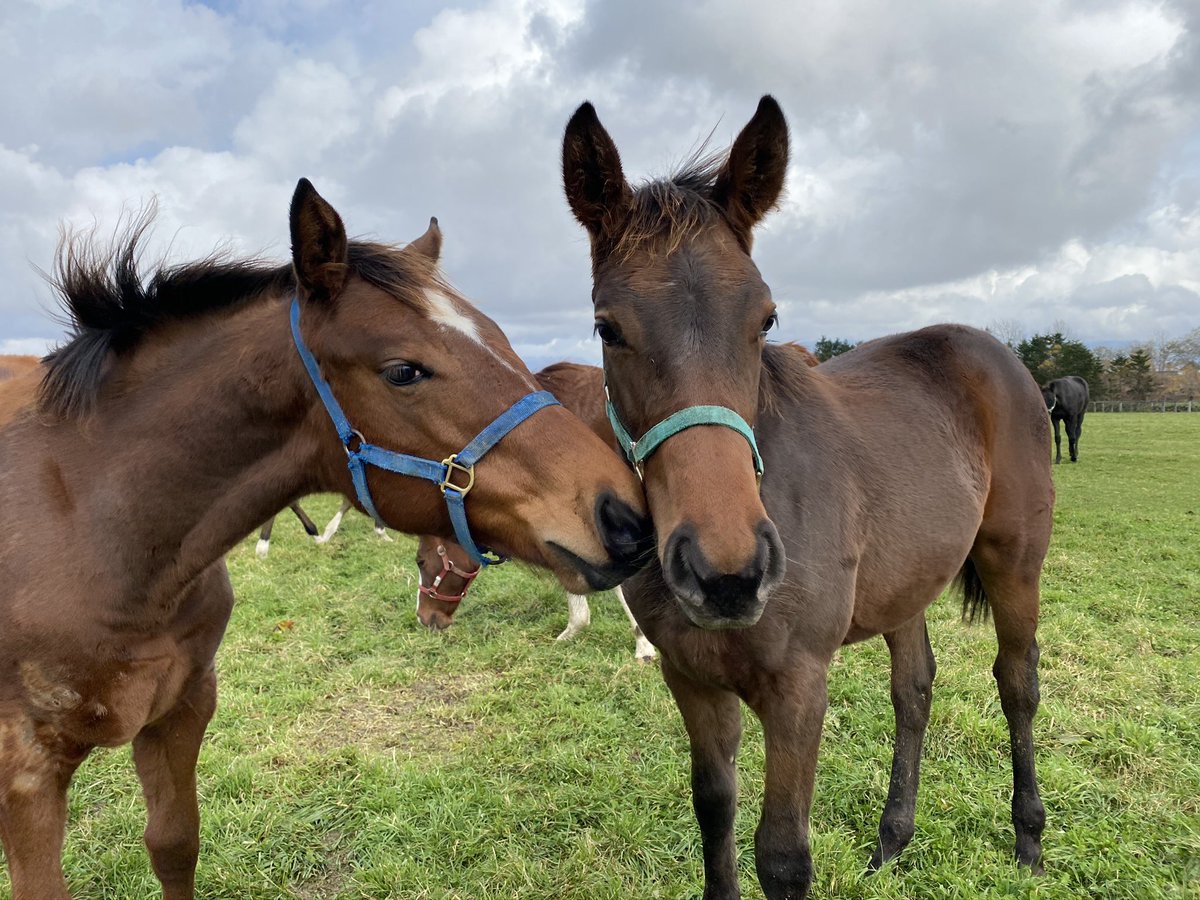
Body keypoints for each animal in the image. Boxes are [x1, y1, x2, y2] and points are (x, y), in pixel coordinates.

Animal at [563, 97, 1054, 898]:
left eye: (764, 318)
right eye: (608, 328)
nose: (727, 573)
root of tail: (994, 352)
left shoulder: (798, 687)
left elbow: (784, 856)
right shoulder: (690, 679)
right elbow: (715, 814)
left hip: (1015, 561)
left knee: (1017, 683)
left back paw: (1029, 840)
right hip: (907, 580)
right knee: (914, 689)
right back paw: (891, 842)